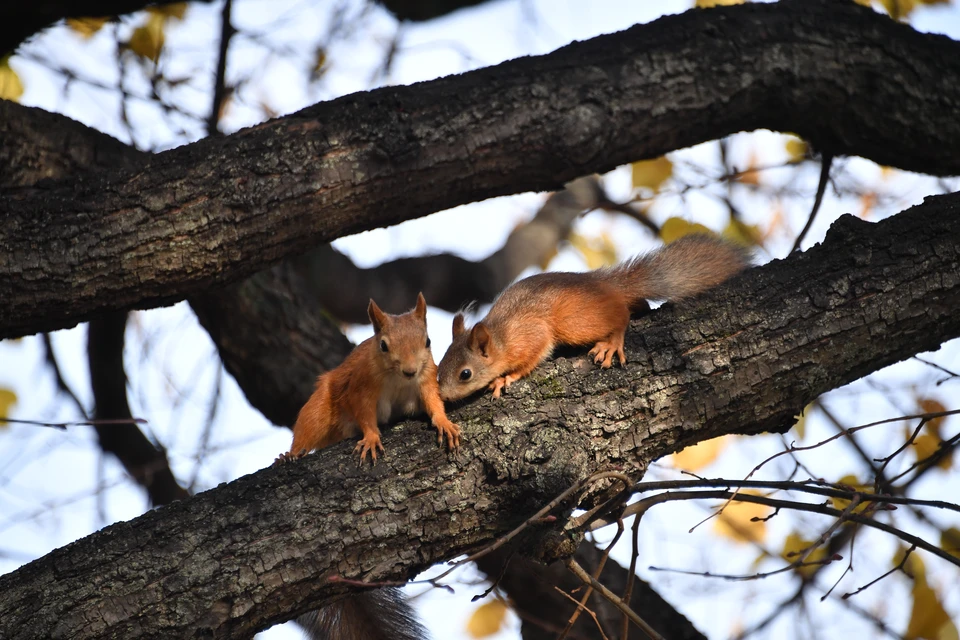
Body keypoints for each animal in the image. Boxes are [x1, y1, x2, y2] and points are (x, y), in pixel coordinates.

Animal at [278, 292, 462, 464]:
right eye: (383, 345)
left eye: (428, 342)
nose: (410, 371)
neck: (399, 379)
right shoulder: (362, 385)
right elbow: (364, 413)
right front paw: (372, 438)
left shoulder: (427, 378)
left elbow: (434, 400)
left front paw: (444, 422)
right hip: (318, 409)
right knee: (308, 430)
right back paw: (289, 455)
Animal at [436, 236, 752, 400]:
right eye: (439, 368)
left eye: (465, 374)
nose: (442, 396)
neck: (500, 337)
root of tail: (607, 284)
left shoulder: (530, 336)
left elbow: (530, 359)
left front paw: (505, 378)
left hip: (575, 322)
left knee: (620, 315)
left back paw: (613, 341)